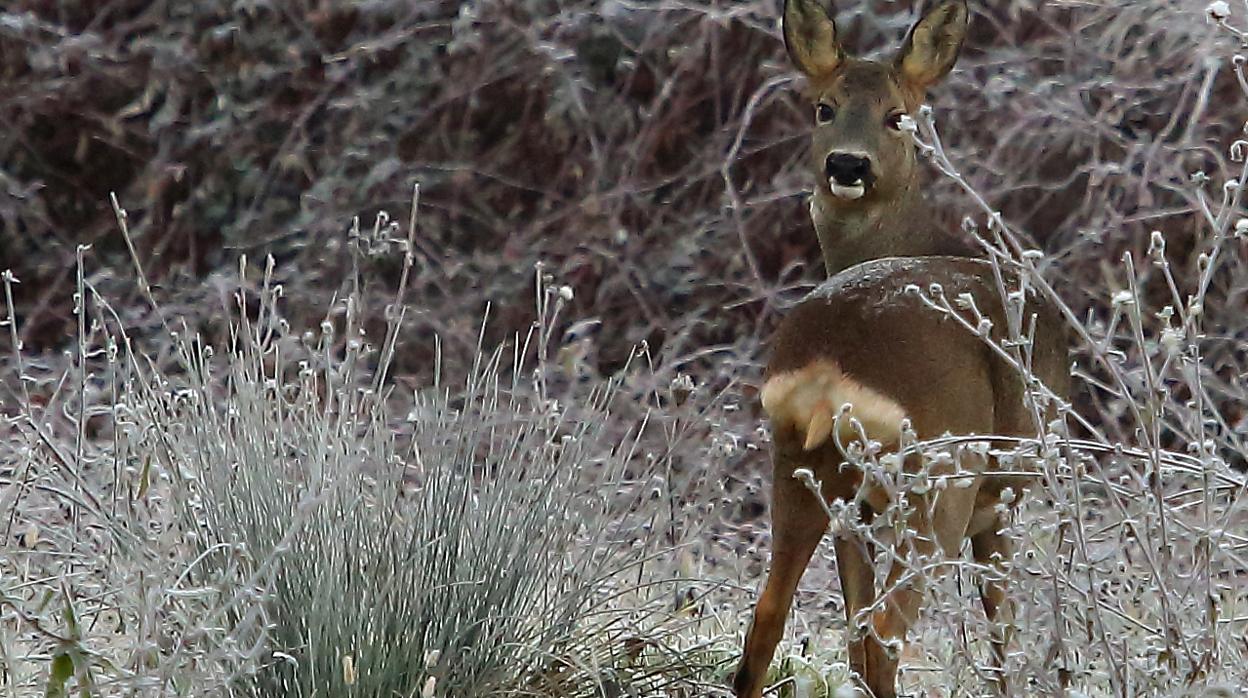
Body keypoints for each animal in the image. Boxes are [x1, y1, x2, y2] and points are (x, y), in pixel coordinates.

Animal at [728, 1, 1073, 698]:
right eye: (824, 107)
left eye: (897, 115)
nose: (847, 167)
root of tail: (829, 369)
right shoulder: (1000, 498)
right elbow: (1002, 629)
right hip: (938, 481)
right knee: (882, 639)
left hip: (805, 467)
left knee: (771, 621)